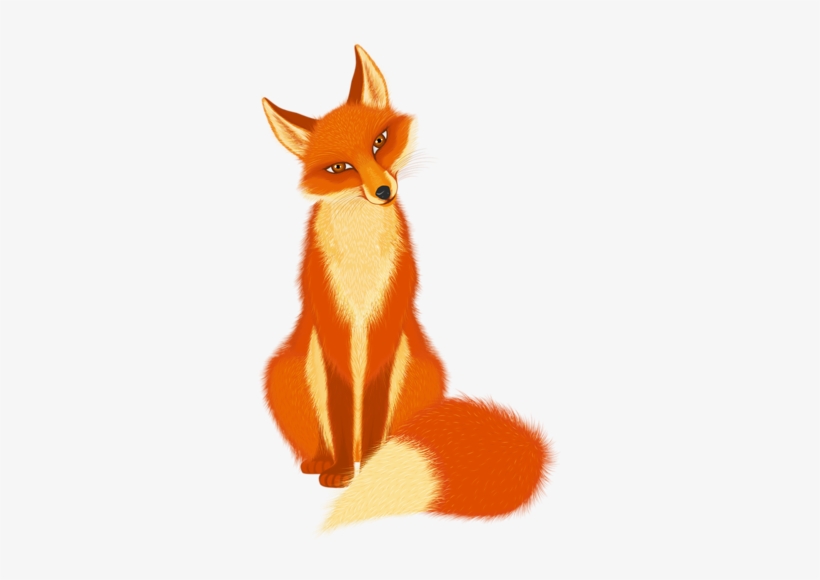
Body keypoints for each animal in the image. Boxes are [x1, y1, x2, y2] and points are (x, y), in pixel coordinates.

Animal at [262, 45, 552, 530]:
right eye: (340, 167)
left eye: (380, 141)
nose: (382, 190)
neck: (361, 264)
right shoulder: (333, 326)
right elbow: (341, 411)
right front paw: (341, 473)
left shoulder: (387, 321)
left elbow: (375, 411)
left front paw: (371, 466)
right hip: (286, 369)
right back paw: (326, 460)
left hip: (422, 367)